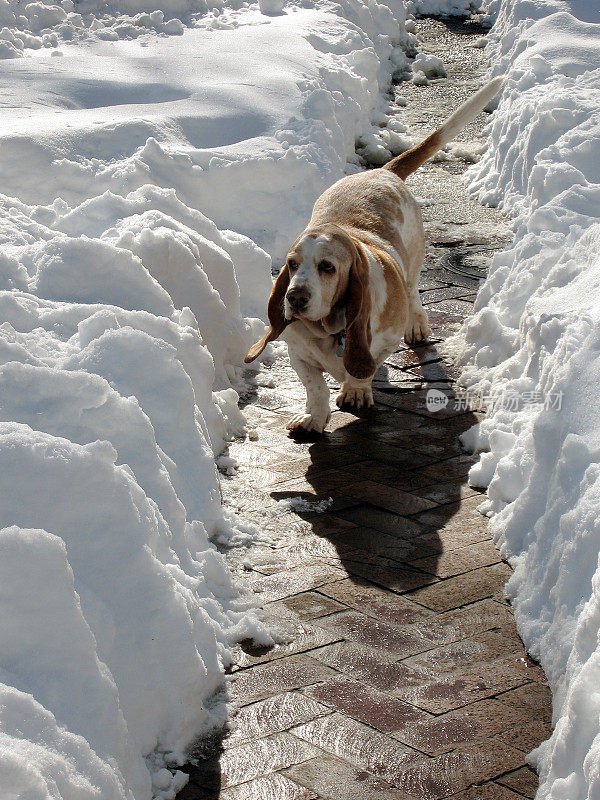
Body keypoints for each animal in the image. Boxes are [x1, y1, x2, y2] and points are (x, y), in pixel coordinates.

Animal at [244, 78, 502, 432]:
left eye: (327, 267)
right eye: (292, 264)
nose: (294, 298)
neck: (330, 330)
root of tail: (383, 171)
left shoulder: (383, 341)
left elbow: (362, 369)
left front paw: (354, 392)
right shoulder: (298, 354)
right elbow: (315, 386)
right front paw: (312, 417)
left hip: (414, 261)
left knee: (413, 293)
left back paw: (417, 326)